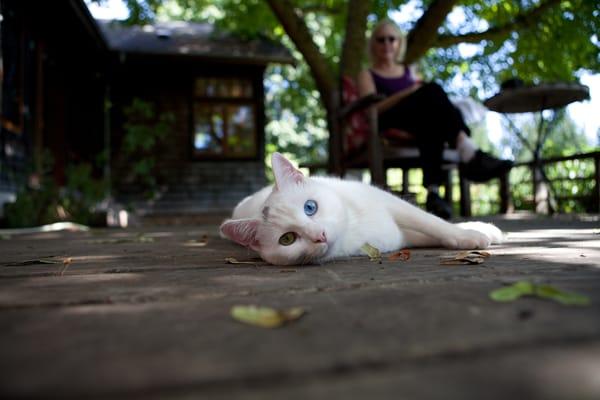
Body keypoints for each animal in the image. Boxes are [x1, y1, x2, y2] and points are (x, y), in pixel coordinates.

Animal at [219, 153, 502, 266]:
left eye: (310, 207)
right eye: (287, 239)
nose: (319, 235)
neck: (353, 228)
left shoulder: (392, 204)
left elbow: (432, 222)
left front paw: (473, 232)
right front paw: (469, 236)